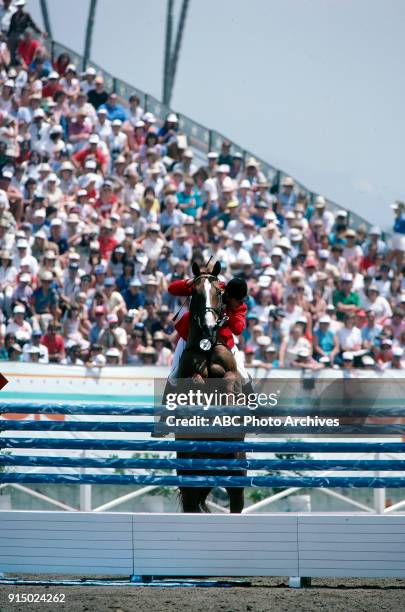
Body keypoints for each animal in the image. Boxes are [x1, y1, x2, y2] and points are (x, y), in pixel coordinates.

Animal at [175, 260, 245, 512]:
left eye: (219, 293)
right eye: (194, 293)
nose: (208, 326)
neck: (206, 346)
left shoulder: (231, 374)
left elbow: (228, 381)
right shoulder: (188, 375)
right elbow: (195, 381)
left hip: (237, 475)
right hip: (190, 476)